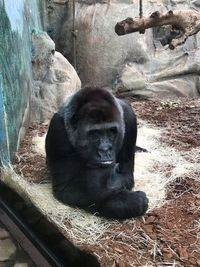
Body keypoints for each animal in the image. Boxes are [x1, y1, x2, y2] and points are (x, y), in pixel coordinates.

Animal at [45, 87, 148, 220]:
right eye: (95, 133)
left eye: (111, 131)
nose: (105, 150)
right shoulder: (57, 128)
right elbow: (66, 188)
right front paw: (129, 202)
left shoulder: (129, 116)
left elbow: (126, 175)